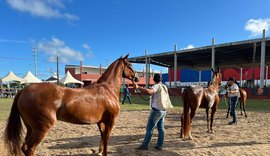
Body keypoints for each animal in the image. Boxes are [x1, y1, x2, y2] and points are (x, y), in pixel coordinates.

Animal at [3, 54, 139, 156]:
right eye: (130, 65)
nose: (137, 77)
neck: (107, 89)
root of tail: (23, 91)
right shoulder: (111, 120)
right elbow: (106, 139)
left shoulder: (101, 121)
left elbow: (102, 136)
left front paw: (100, 152)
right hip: (41, 128)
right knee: (29, 148)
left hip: (30, 127)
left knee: (24, 147)